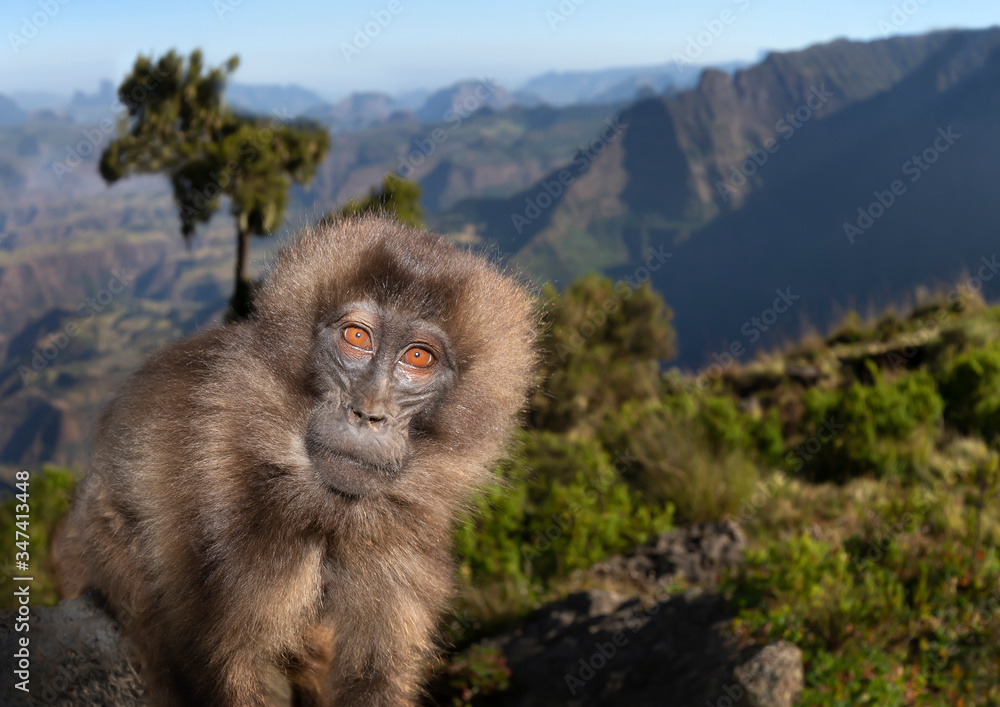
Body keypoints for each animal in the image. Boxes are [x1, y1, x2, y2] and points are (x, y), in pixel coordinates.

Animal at [53, 215, 537, 706]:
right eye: (356, 337)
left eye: (419, 356)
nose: (368, 412)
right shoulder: (220, 503)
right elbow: (226, 668)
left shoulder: (403, 533)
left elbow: (375, 677)